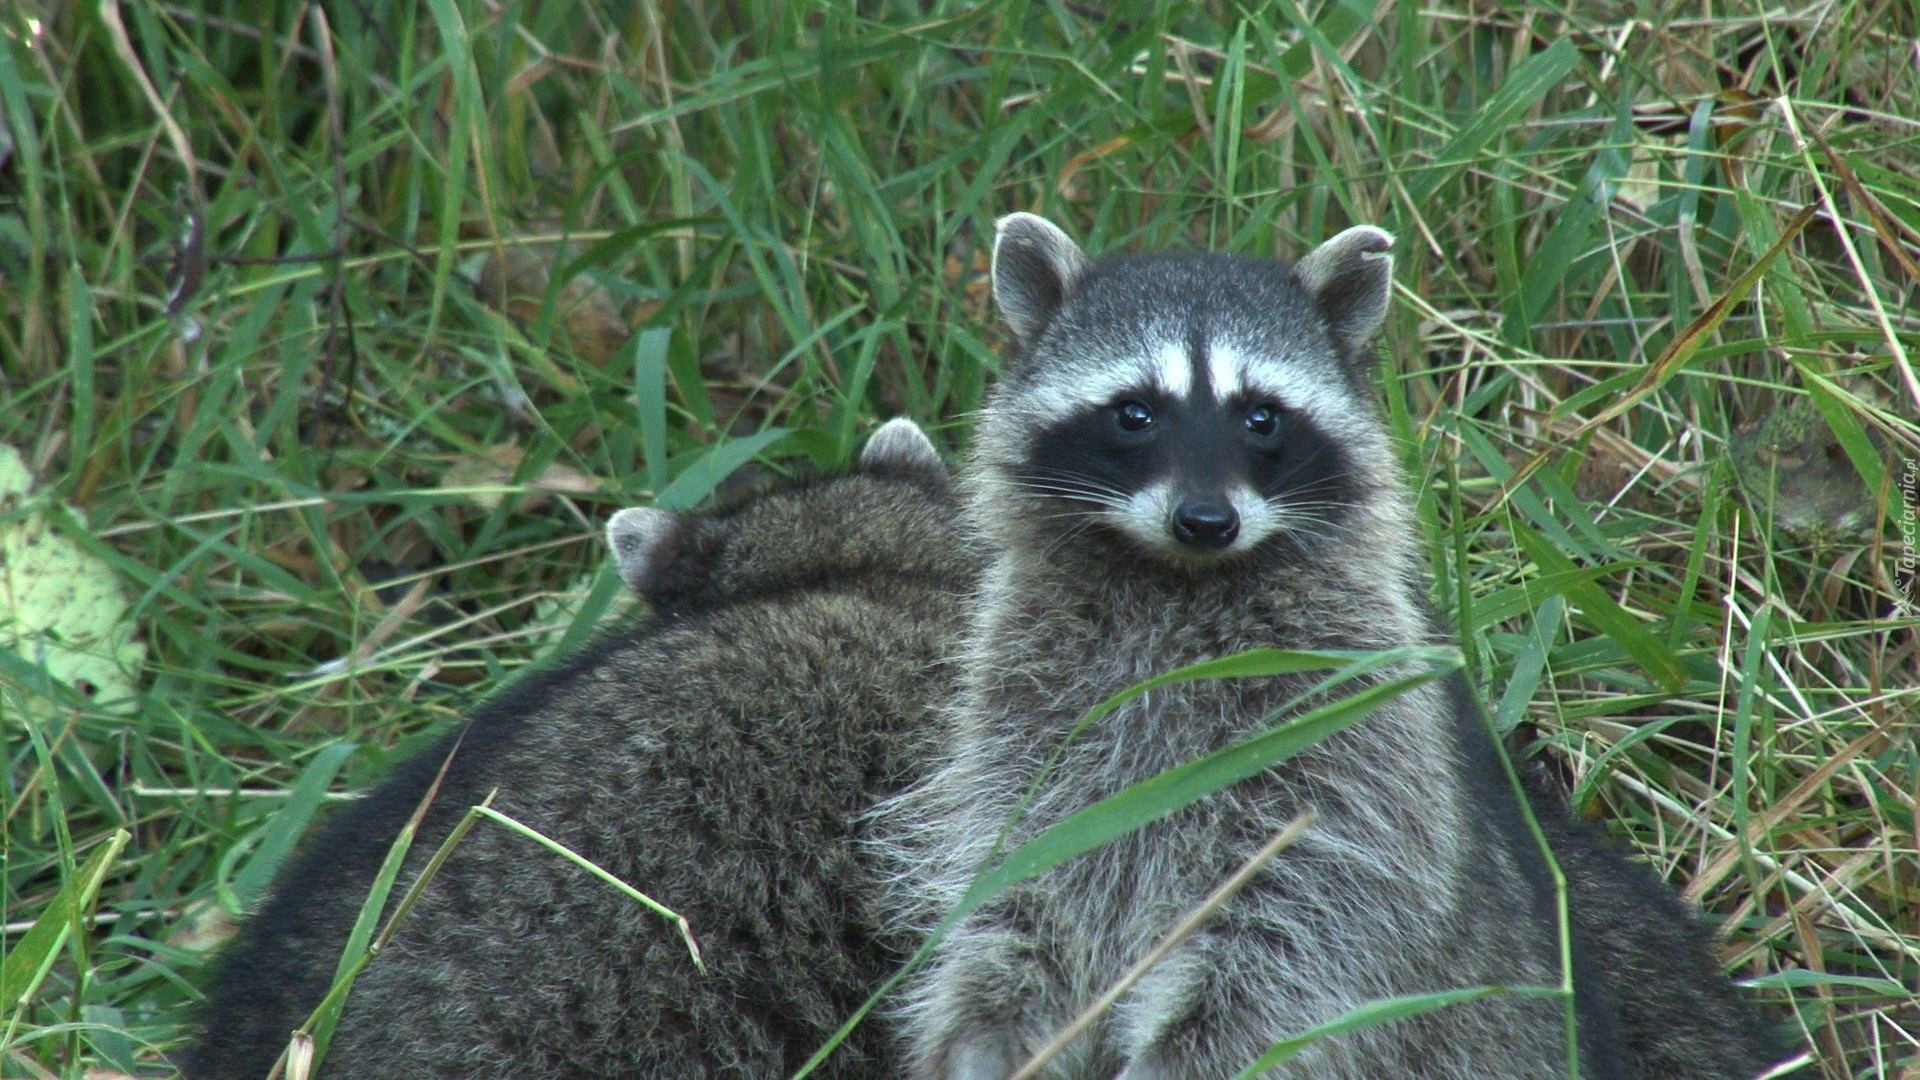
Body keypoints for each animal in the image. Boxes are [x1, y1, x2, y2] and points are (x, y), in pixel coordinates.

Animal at [877, 214, 1783, 1079]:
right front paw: (986, 1032)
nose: (1205, 520)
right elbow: (1015, 899)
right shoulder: (1023, 717)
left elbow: (1302, 939)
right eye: (1135, 413)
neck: (1181, 581)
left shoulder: (1355, 733)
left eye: (1261, 416)